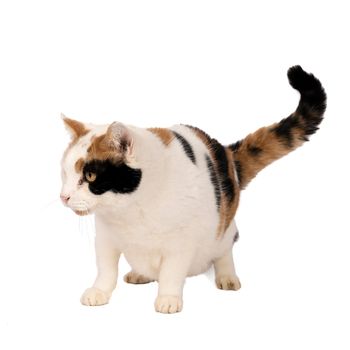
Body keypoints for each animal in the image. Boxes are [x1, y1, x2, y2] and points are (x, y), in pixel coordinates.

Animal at [60, 66, 326, 314]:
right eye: (65, 173)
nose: (63, 196)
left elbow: (171, 272)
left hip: (225, 227)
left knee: (225, 250)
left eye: (90, 176)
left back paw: (227, 277)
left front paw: (168, 299)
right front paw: (98, 292)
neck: (131, 210)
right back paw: (140, 273)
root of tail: (227, 154)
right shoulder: (105, 238)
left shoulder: (180, 243)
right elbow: (106, 269)